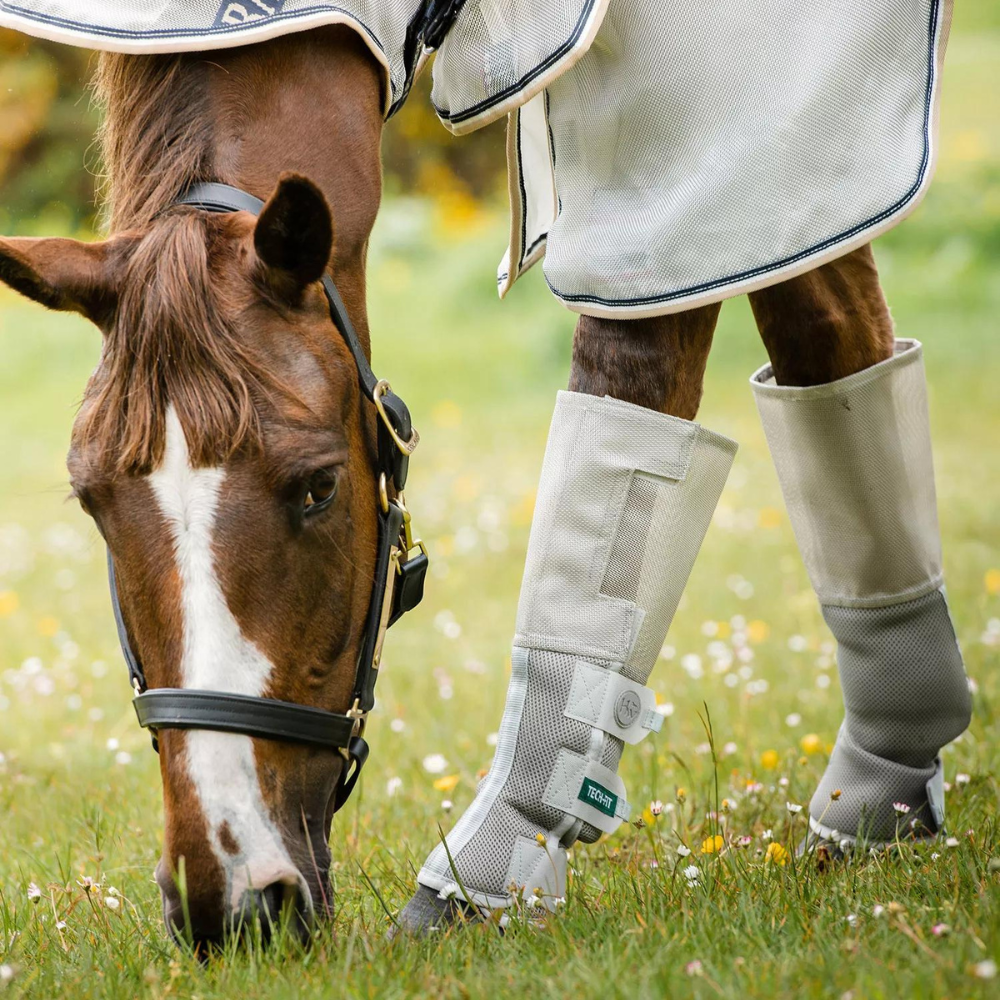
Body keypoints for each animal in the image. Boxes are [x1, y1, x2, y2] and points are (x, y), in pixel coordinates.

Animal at [0, 9, 970, 946]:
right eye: (92, 503)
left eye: (317, 488)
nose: (228, 899)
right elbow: (829, 332)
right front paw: (884, 782)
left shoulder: (707, 156)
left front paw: (489, 871)